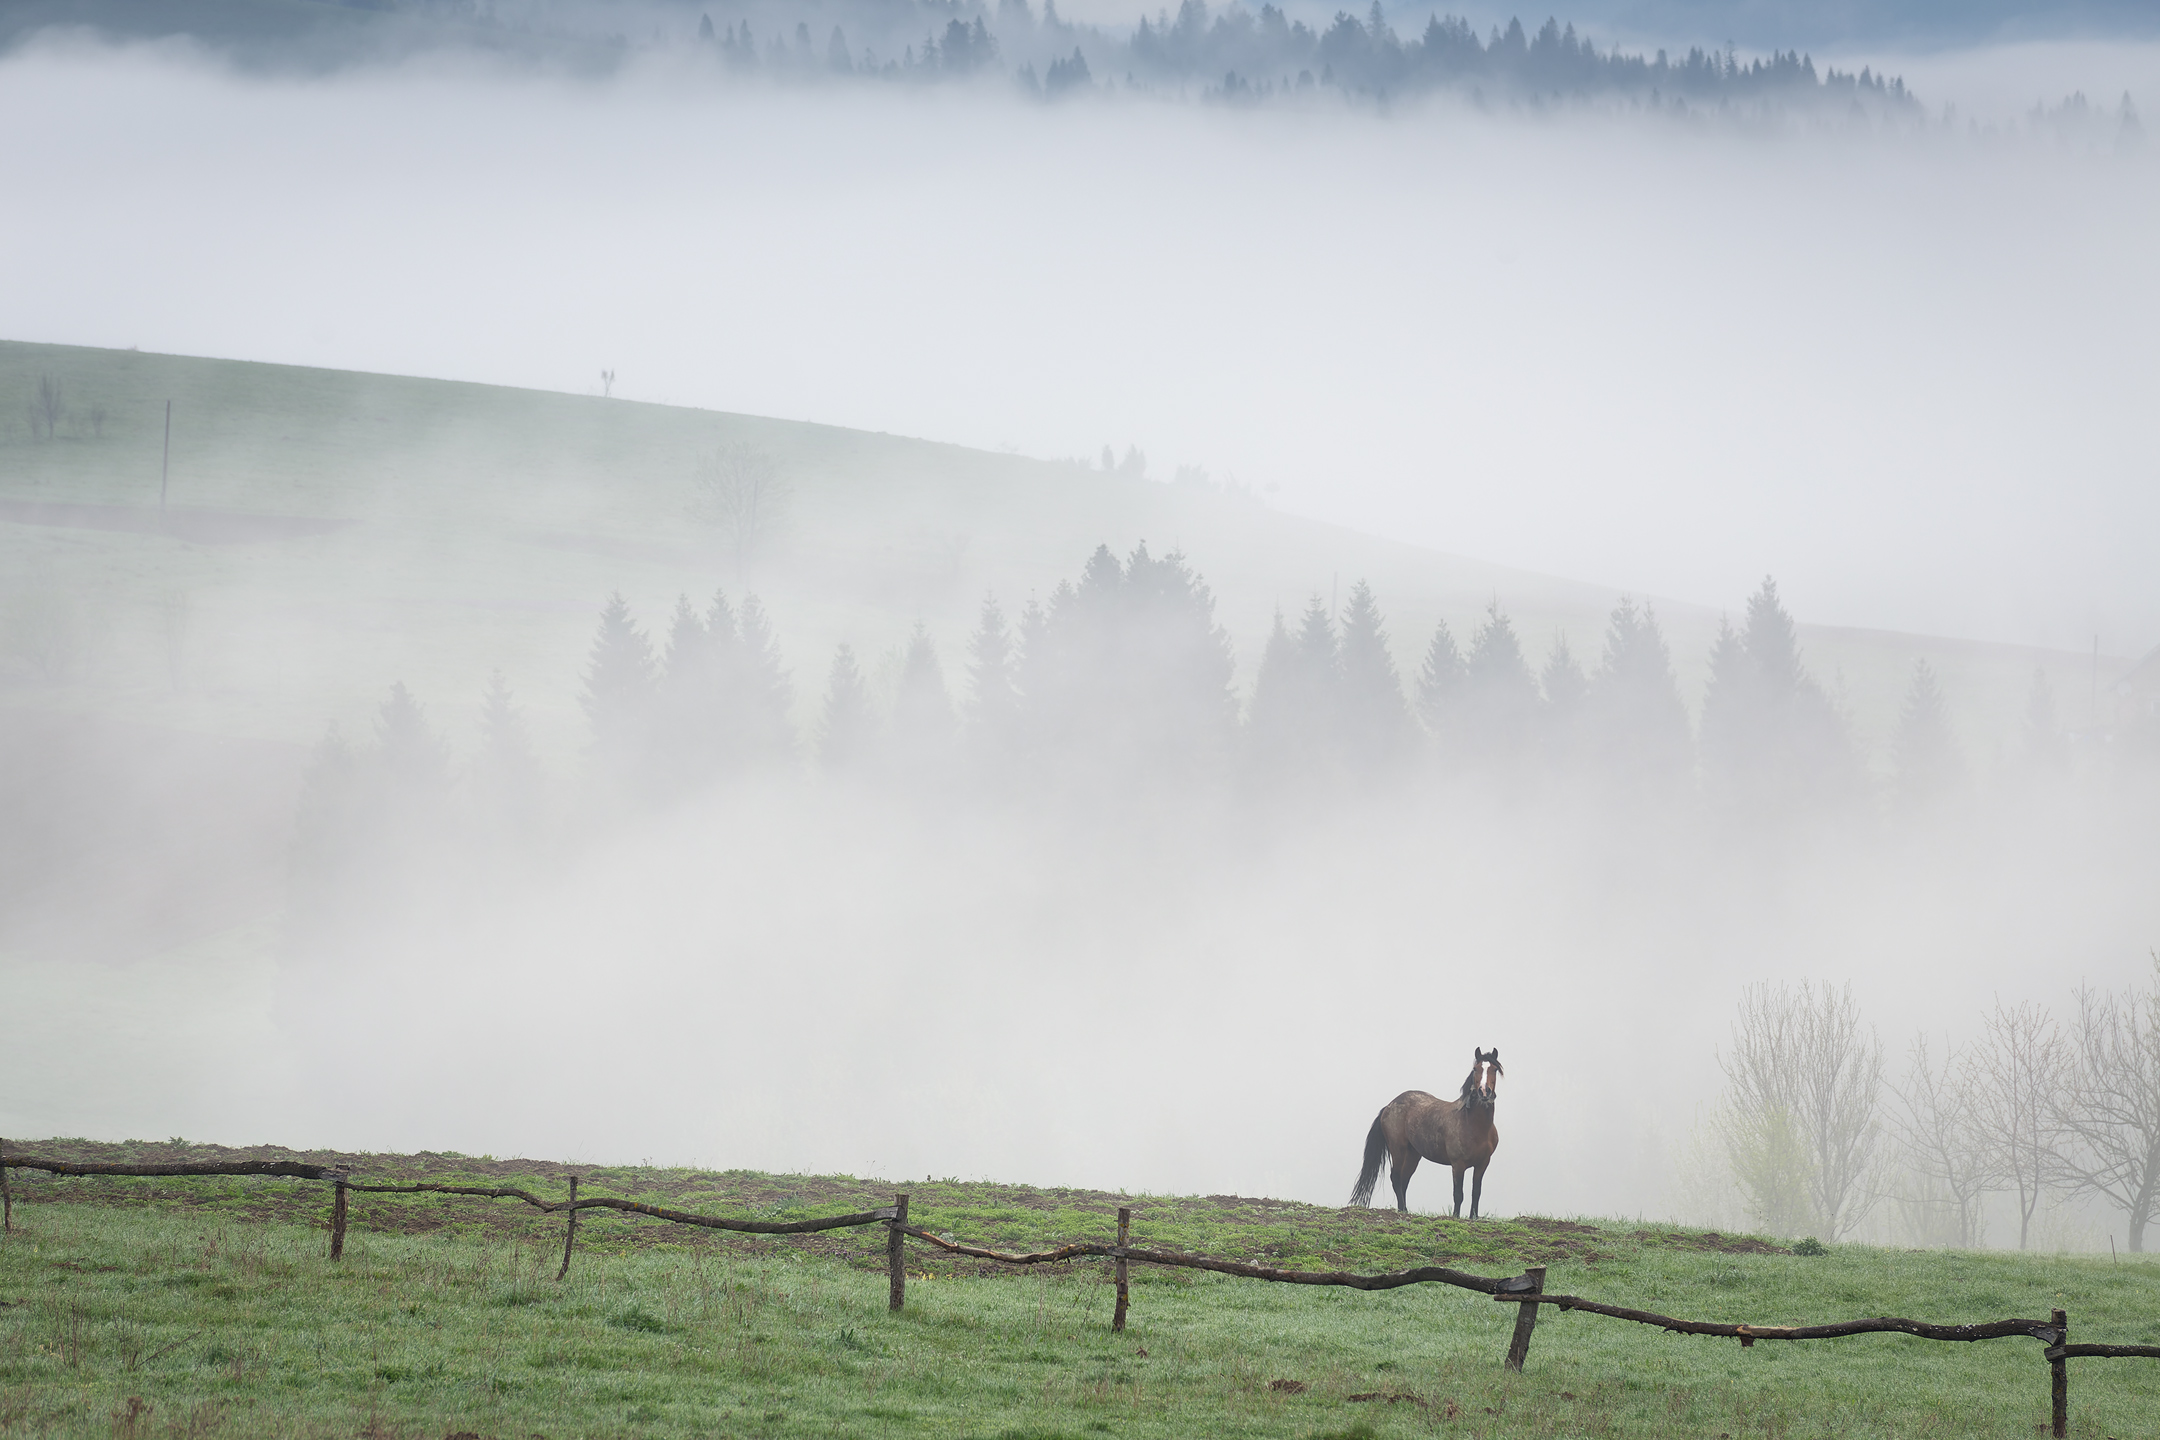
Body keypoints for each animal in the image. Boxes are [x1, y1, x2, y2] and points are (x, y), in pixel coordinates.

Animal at [1347, 1049, 1503, 1217]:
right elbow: (1458, 1194)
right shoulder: (1458, 1164)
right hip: (1398, 1150)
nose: (1484, 1092)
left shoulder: (1482, 1164)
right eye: (1475, 1069)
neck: (1474, 1125)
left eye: (1494, 1069)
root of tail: (1389, 1106)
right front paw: (1455, 1216)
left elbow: (1476, 1192)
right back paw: (1402, 1210)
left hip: (1413, 1154)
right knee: (1396, 1178)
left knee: (1404, 1180)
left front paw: (1473, 1217)